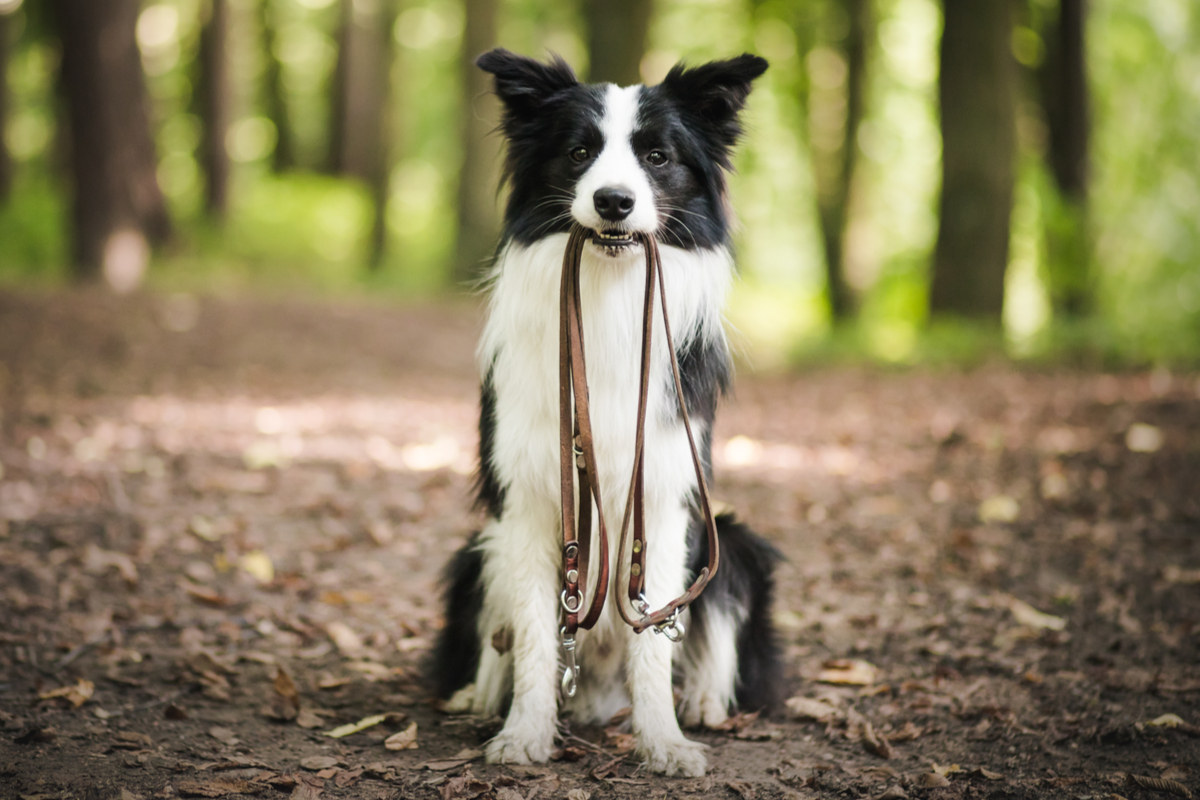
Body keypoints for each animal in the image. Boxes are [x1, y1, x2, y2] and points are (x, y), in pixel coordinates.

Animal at [434, 48, 787, 777]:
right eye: (578, 152)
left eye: (657, 156)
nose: (613, 201)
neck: (607, 294)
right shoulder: (531, 500)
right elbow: (537, 636)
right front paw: (524, 734)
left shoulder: (665, 496)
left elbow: (653, 638)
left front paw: (665, 743)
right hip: (477, 550)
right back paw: (477, 696)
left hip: (731, 541)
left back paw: (704, 704)